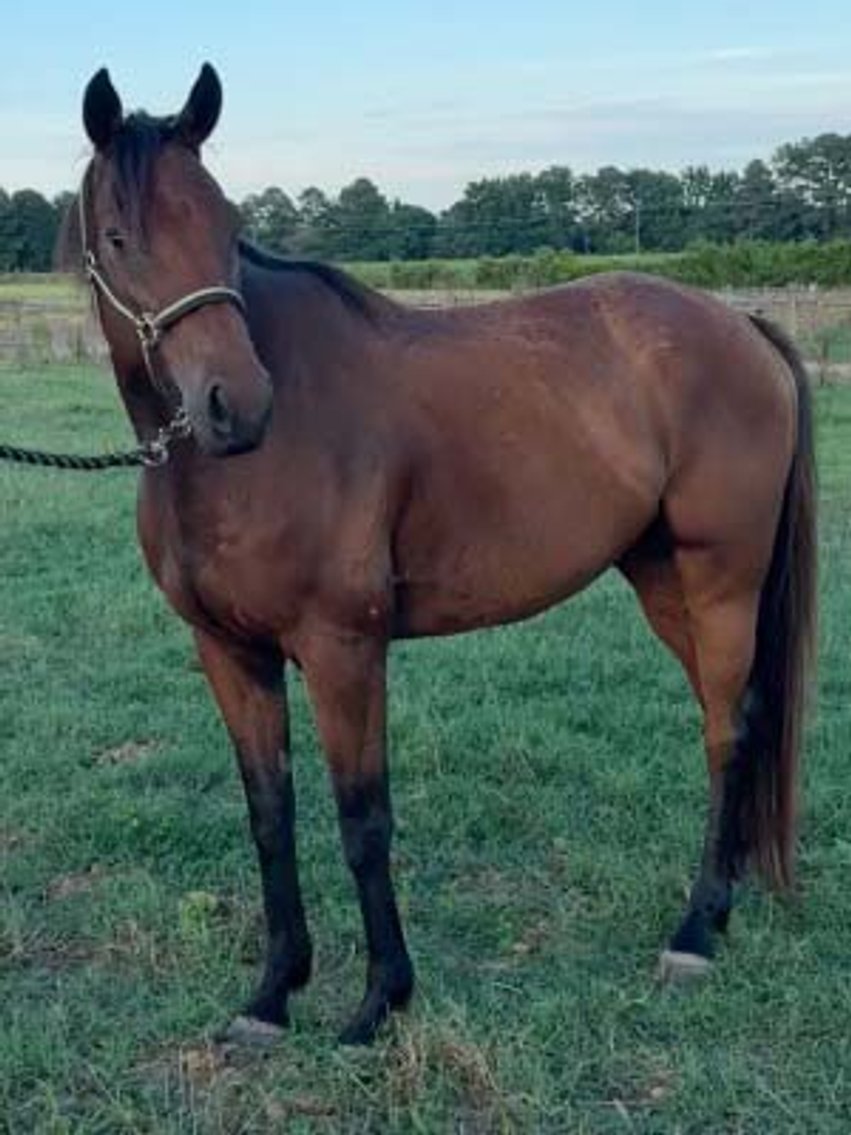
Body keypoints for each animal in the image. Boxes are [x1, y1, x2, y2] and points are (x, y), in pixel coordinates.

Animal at [58, 63, 816, 1047]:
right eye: (120, 237)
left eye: (226, 228)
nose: (237, 405)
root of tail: (743, 326)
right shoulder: (229, 652)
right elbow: (270, 814)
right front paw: (272, 994)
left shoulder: (343, 647)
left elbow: (363, 819)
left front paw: (379, 999)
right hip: (662, 580)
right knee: (729, 723)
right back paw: (717, 908)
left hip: (720, 578)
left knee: (727, 728)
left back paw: (692, 933)